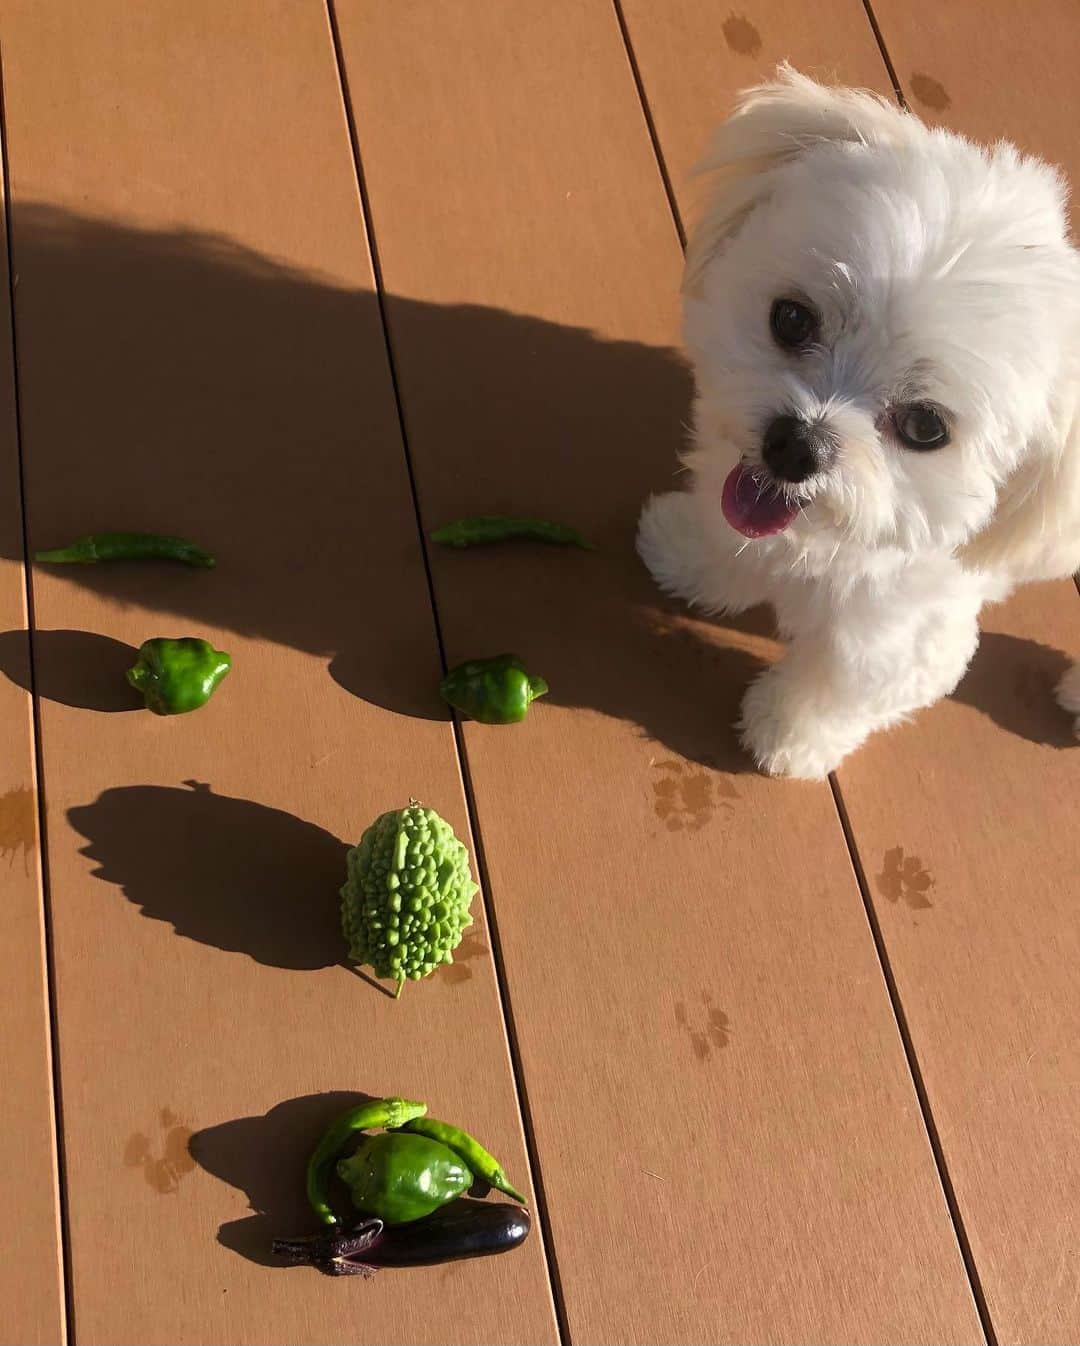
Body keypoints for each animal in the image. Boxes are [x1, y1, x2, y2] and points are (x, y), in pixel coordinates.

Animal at [635, 68, 1077, 780]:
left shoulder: (907, 637)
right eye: (791, 319)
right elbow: (725, 538)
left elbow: (840, 685)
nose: (797, 446)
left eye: (925, 427)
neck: (823, 543)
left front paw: (788, 734)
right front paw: (688, 555)